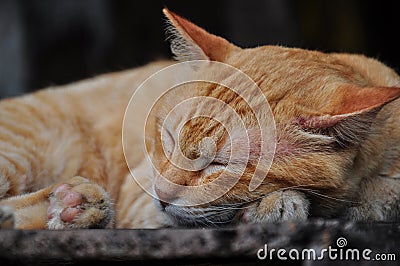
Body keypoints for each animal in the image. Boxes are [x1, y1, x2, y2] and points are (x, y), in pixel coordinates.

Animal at [0, 8, 400, 229]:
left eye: (220, 165)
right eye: (169, 140)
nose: (160, 194)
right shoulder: (139, 197)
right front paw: (279, 204)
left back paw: (73, 206)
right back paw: (76, 204)